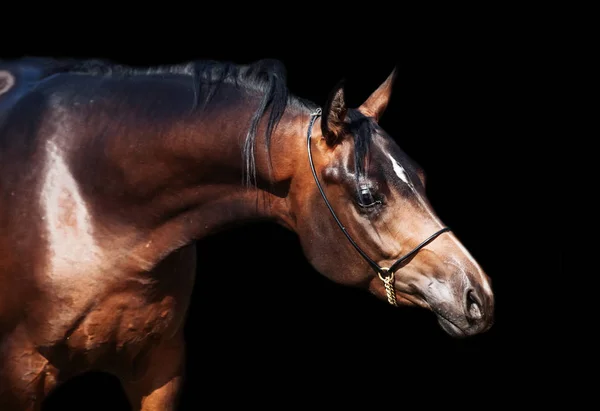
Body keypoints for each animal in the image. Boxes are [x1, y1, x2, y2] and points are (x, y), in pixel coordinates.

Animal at [0, 56, 494, 410]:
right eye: (368, 196)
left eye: (422, 177)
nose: (479, 297)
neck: (86, 197)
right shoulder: (21, 376)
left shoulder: (160, 369)